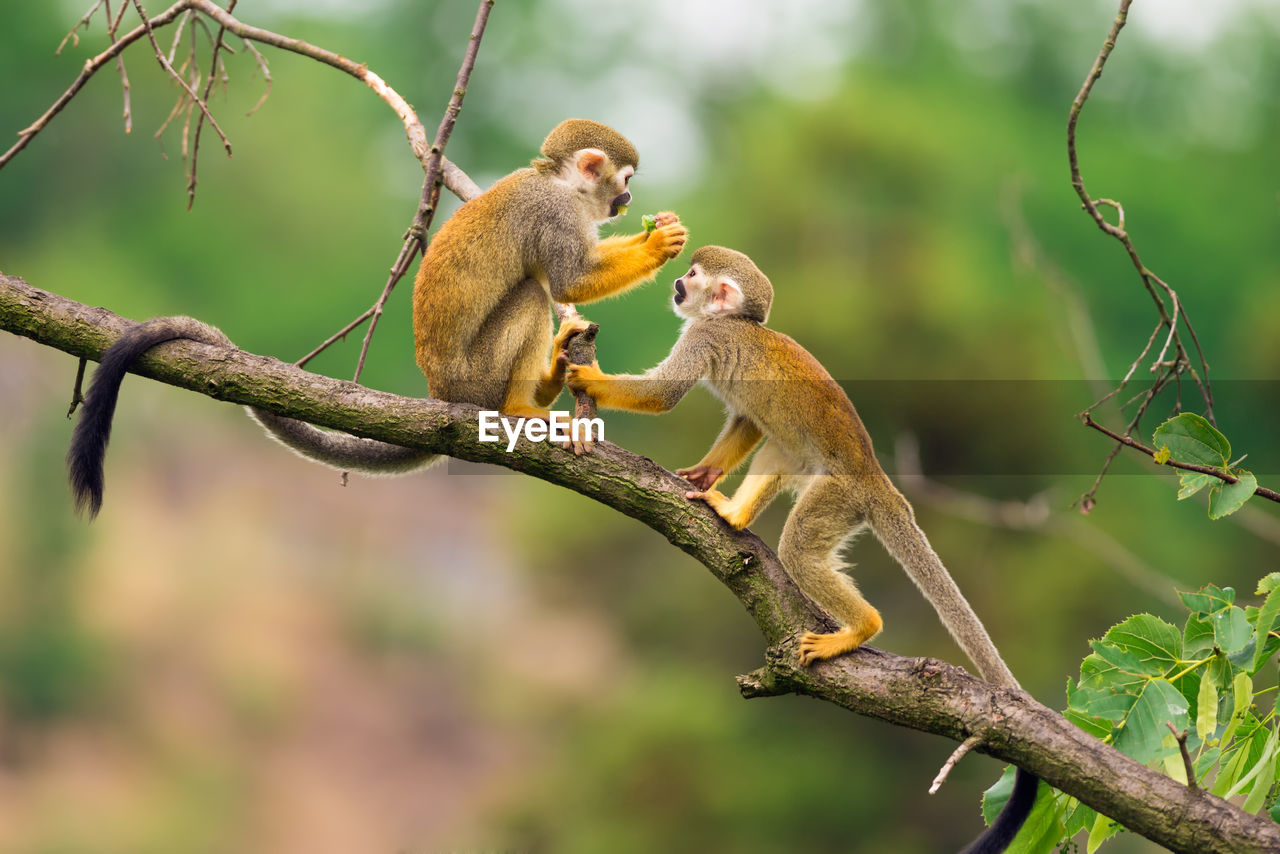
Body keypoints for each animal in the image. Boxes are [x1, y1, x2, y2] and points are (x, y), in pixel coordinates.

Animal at [67, 118, 691, 514]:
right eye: (624, 181)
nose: (627, 203)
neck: (558, 183)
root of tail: (441, 394)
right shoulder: (554, 213)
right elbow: (567, 280)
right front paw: (658, 245)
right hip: (475, 376)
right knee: (532, 295)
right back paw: (520, 406)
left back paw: (554, 372)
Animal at [568, 243, 1039, 850]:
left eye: (692, 276)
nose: (675, 284)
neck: (736, 324)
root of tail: (876, 479)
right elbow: (746, 420)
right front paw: (704, 473)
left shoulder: (705, 337)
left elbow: (666, 394)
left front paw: (590, 377)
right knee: (779, 443)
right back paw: (736, 513)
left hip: (838, 496)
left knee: (798, 546)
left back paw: (860, 628)